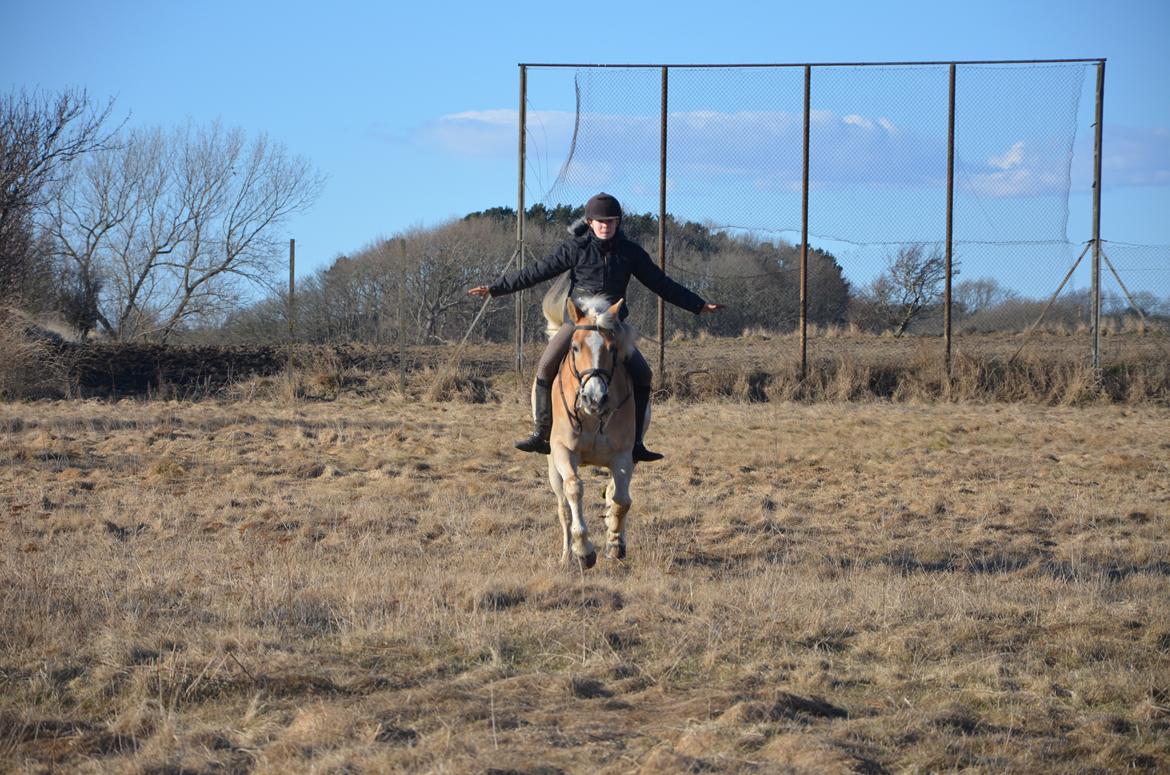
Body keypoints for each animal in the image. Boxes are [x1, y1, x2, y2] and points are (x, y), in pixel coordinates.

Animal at [540, 292, 641, 571]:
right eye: (575, 347)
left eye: (613, 348)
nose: (594, 398)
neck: (593, 417)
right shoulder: (563, 452)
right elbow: (574, 489)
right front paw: (584, 551)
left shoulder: (623, 456)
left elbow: (621, 499)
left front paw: (615, 542)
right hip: (553, 467)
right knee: (563, 507)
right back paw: (567, 554)